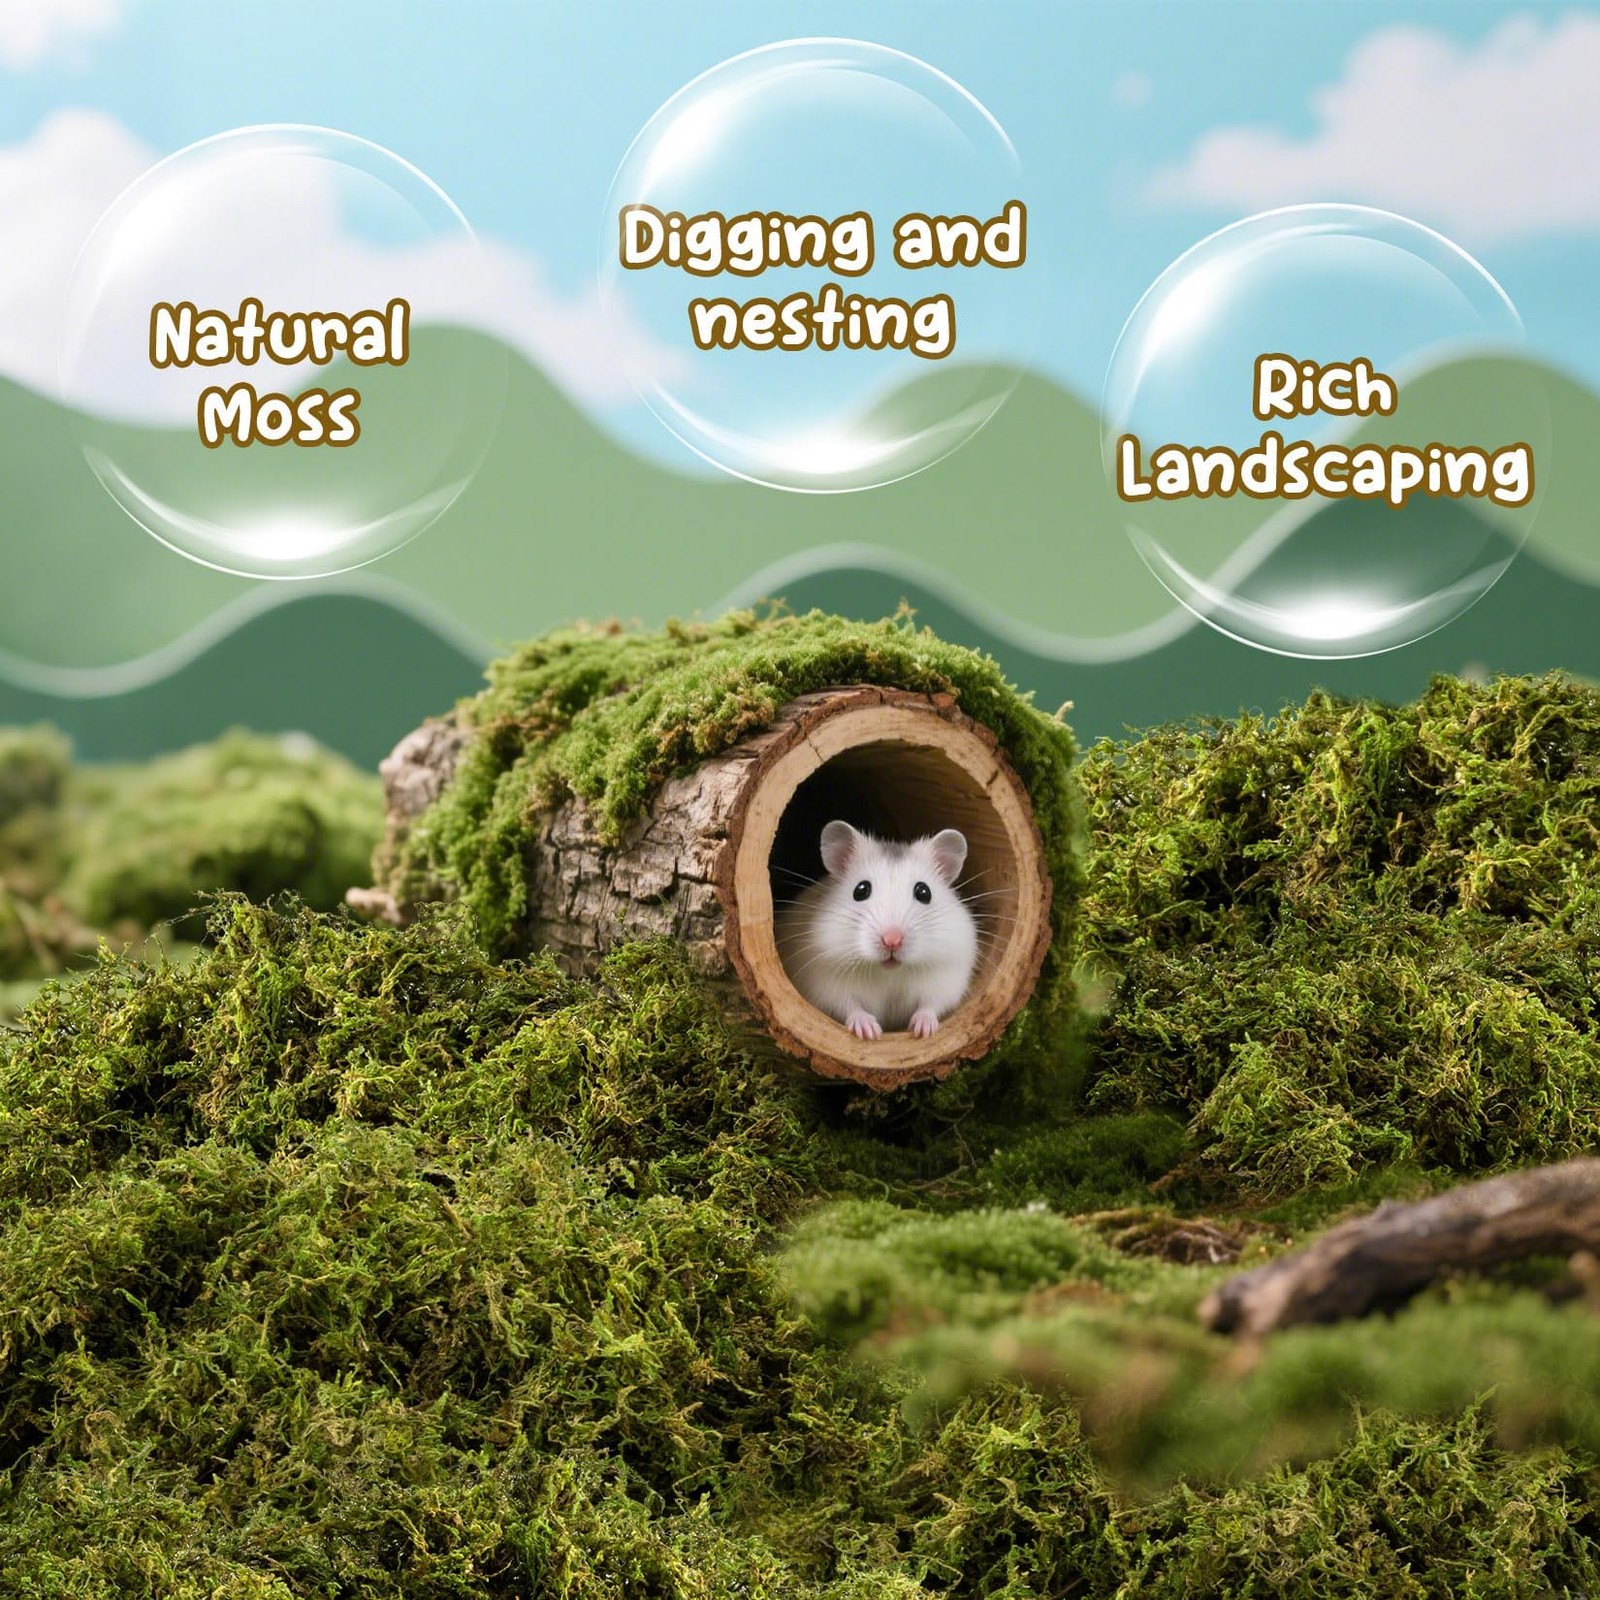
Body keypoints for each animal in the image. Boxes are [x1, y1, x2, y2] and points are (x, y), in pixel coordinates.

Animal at [775, 820, 979, 1040]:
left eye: (924, 892)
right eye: (861, 890)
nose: (892, 940)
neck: (889, 972)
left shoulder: (946, 980)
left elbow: (930, 1005)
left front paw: (923, 1031)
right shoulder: (826, 985)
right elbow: (850, 1006)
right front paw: (869, 1032)